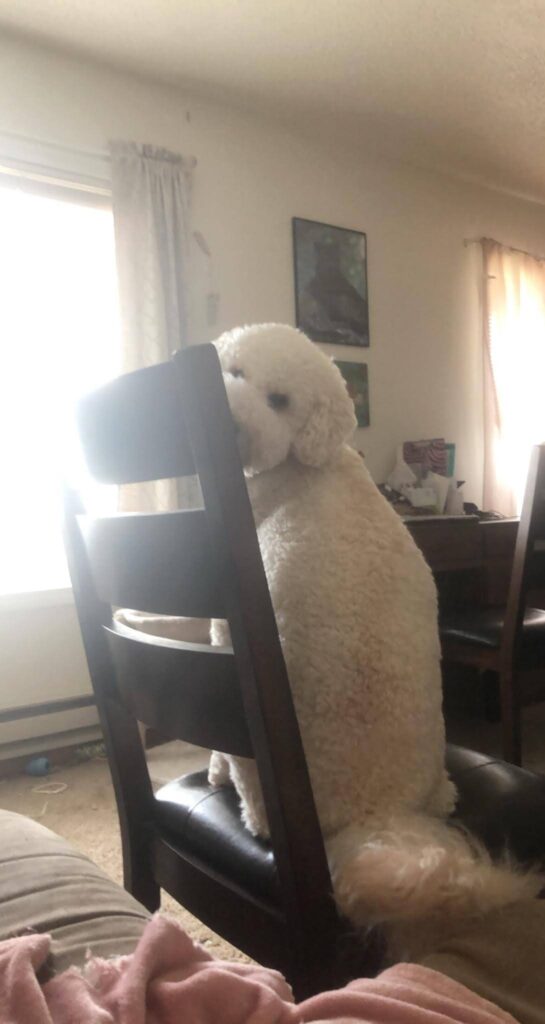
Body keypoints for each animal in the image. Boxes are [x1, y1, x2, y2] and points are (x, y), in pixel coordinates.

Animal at [122, 321, 536, 950]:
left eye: (279, 401)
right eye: (234, 371)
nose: (233, 424)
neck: (305, 463)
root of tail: (376, 815)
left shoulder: (223, 621)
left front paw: (209, 766)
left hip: (262, 774)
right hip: (436, 782)